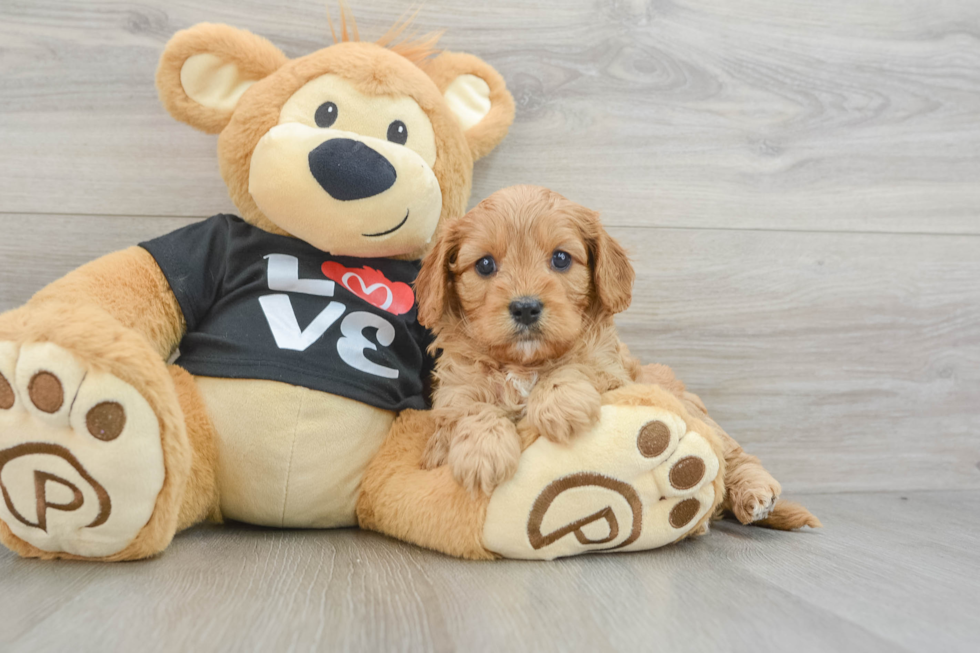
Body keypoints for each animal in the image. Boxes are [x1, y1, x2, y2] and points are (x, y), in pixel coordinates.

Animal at [412, 183, 636, 494]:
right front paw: (483, 451)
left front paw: (561, 403)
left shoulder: (612, 370)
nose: (526, 308)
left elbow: (578, 363)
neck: (523, 366)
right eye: (484, 264)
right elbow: (470, 407)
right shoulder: (456, 388)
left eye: (561, 258)